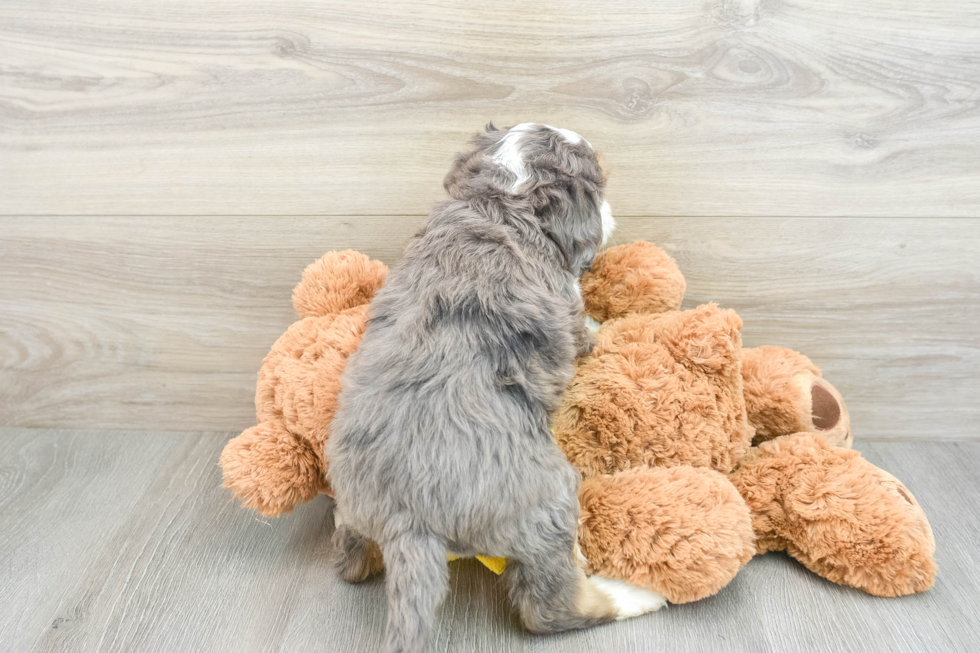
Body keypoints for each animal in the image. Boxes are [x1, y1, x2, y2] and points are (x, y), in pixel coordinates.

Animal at [330, 123, 620, 652]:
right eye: (598, 185)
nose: (611, 215)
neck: (503, 194)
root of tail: (407, 519)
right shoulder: (568, 308)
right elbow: (585, 330)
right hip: (549, 505)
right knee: (548, 608)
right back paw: (613, 598)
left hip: (352, 511)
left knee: (348, 557)